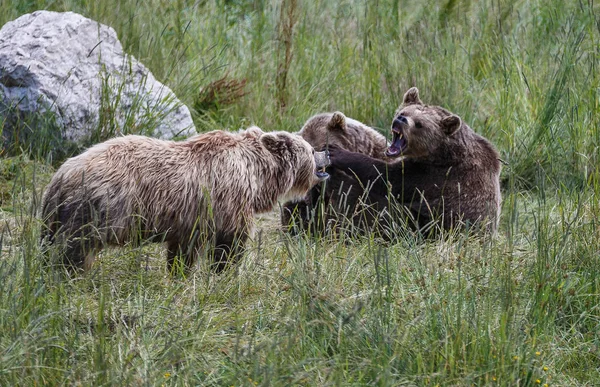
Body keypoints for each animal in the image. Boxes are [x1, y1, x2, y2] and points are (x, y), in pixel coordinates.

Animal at [41, 127, 332, 272]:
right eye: (310, 148)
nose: (326, 154)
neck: (258, 174)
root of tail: (60, 177)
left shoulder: (188, 219)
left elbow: (182, 251)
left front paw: (178, 273)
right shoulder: (227, 200)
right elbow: (230, 242)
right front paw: (224, 271)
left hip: (58, 215)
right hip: (98, 207)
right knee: (76, 248)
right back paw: (71, 273)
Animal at [324, 87, 502, 236]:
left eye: (419, 124)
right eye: (403, 112)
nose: (401, 119)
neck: (441, 151)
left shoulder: (433, 174)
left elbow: (386, 177)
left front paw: (338, 153)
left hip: (430, 222)